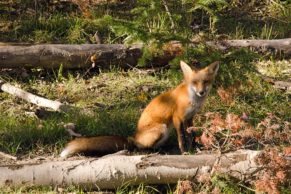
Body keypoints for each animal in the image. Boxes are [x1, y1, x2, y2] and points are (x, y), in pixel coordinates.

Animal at [60, 61, 220, 158]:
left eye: (205, 82)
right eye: (194, 82)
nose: (201, 92)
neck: (192, 99)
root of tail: (133, 136)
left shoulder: (190, 118)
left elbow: (192, 134)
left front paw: (196, 147)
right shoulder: (177, 118)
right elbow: (182, 137)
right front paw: (185, 151)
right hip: (162, 128)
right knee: (140, 147)